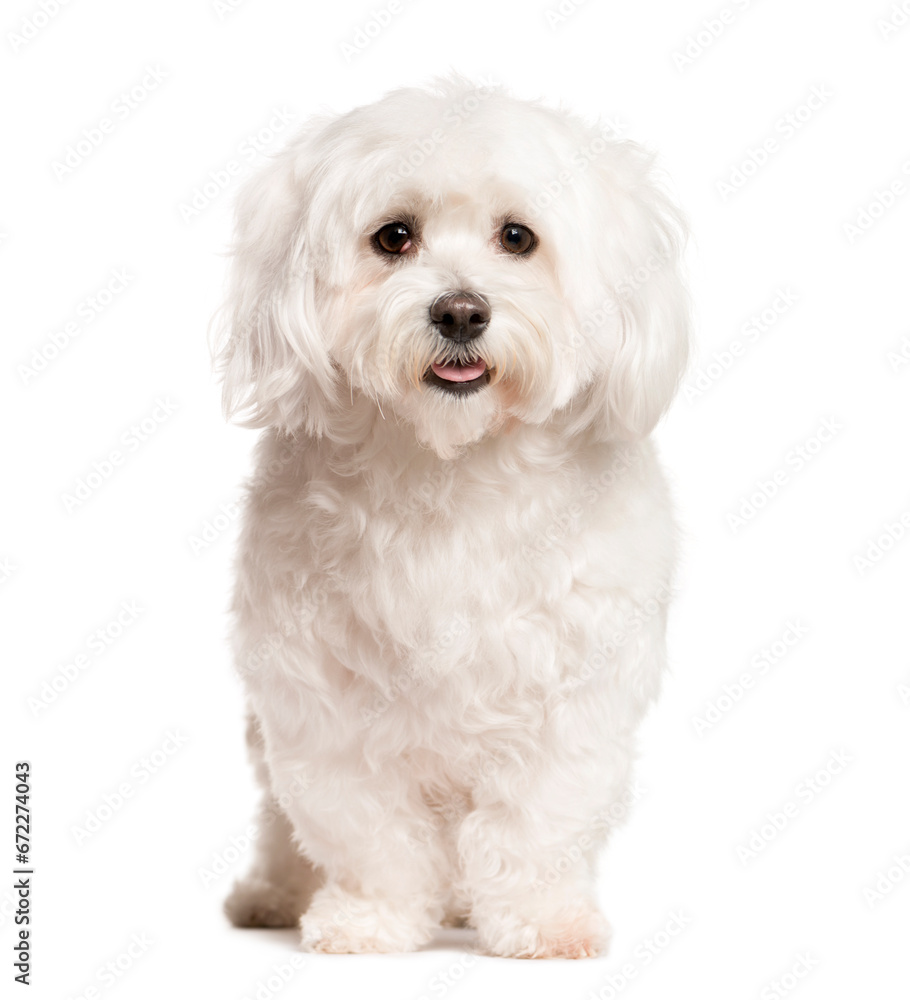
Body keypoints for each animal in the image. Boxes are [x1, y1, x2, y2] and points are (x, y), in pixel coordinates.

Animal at [219, 80, 692, 960]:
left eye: (518, 237)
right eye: (393, 236)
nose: (462, 312)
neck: (453, 464)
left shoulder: (570, 693)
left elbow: (538, 819)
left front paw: (542, 919)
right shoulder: (323, 698)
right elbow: (363, 824)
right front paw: (369, 918)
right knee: (278, 821)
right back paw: (274, 893)